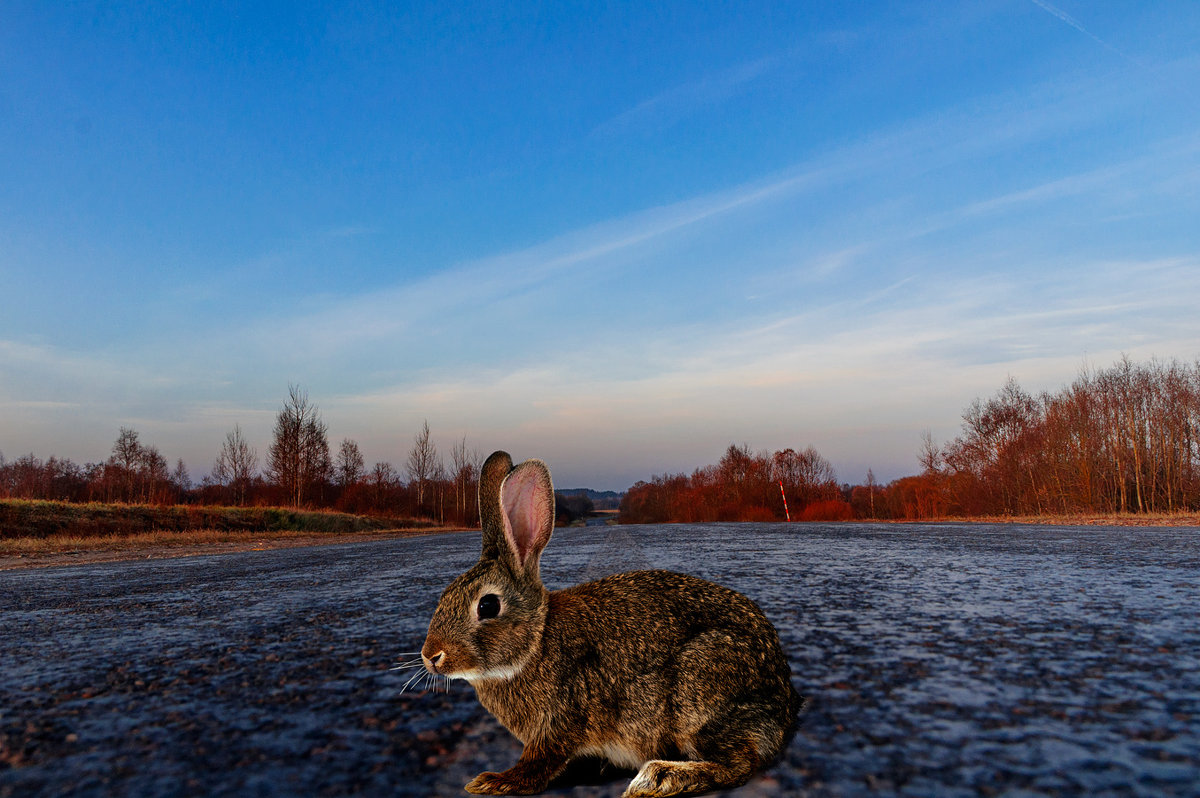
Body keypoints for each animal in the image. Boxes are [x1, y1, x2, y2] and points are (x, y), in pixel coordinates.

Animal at [417, 451, 801, 792]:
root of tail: (784, 699)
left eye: (487, 606)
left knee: (739, 763)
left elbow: (540, 761)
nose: (431, 655)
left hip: (701, 686)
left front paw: (495, 781)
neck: (535, 642)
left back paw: (661, 778)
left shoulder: (561, 718)